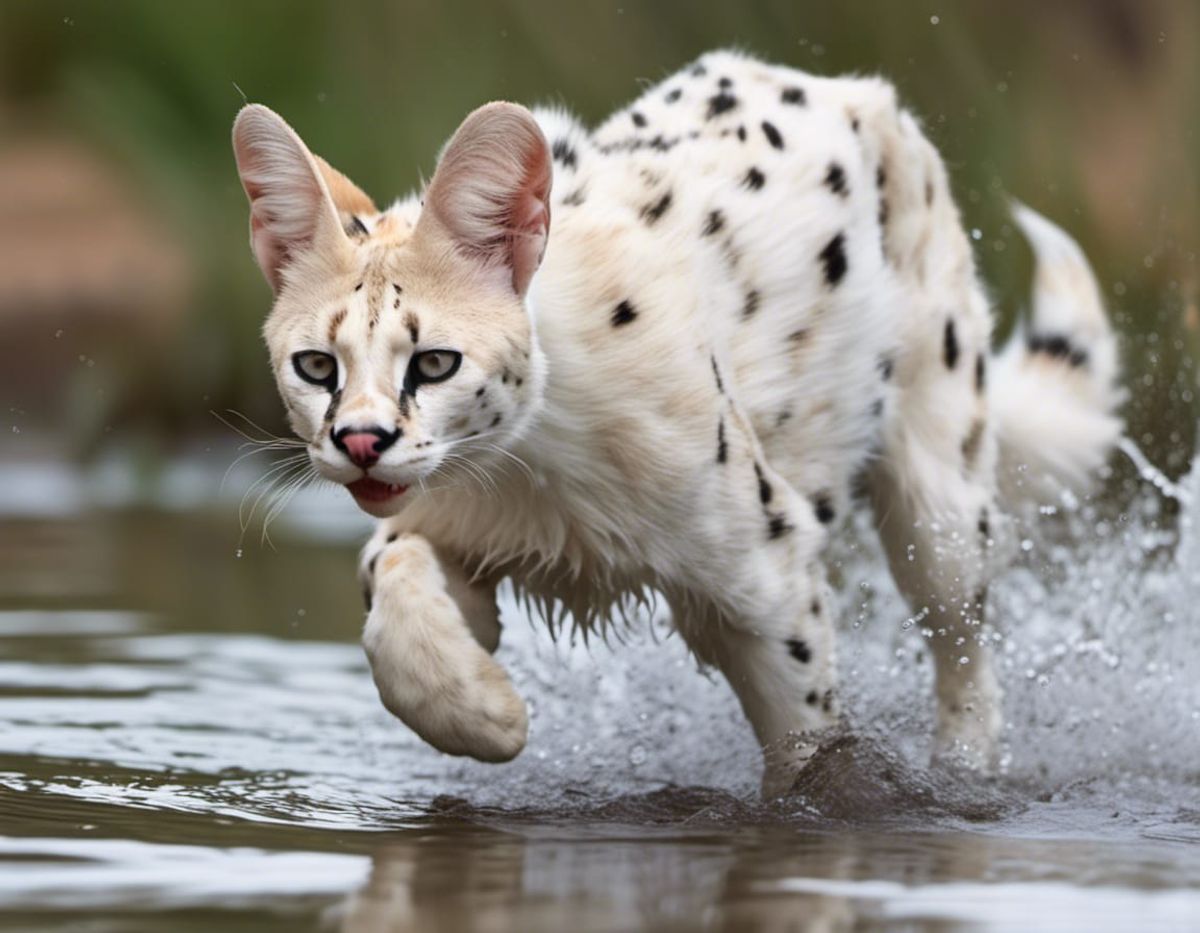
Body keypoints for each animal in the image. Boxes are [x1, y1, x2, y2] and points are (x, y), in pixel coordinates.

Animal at [234, 50, 1123, 791]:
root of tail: (863, 94)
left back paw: (964, 774)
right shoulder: (448, 518)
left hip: (939, 503)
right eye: (316, 366)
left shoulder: (770, 565)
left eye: (434, 363)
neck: (535, 460)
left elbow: (808, 750)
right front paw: (488, 712)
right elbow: (390, 590)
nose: (359, 442)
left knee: (967, 652)